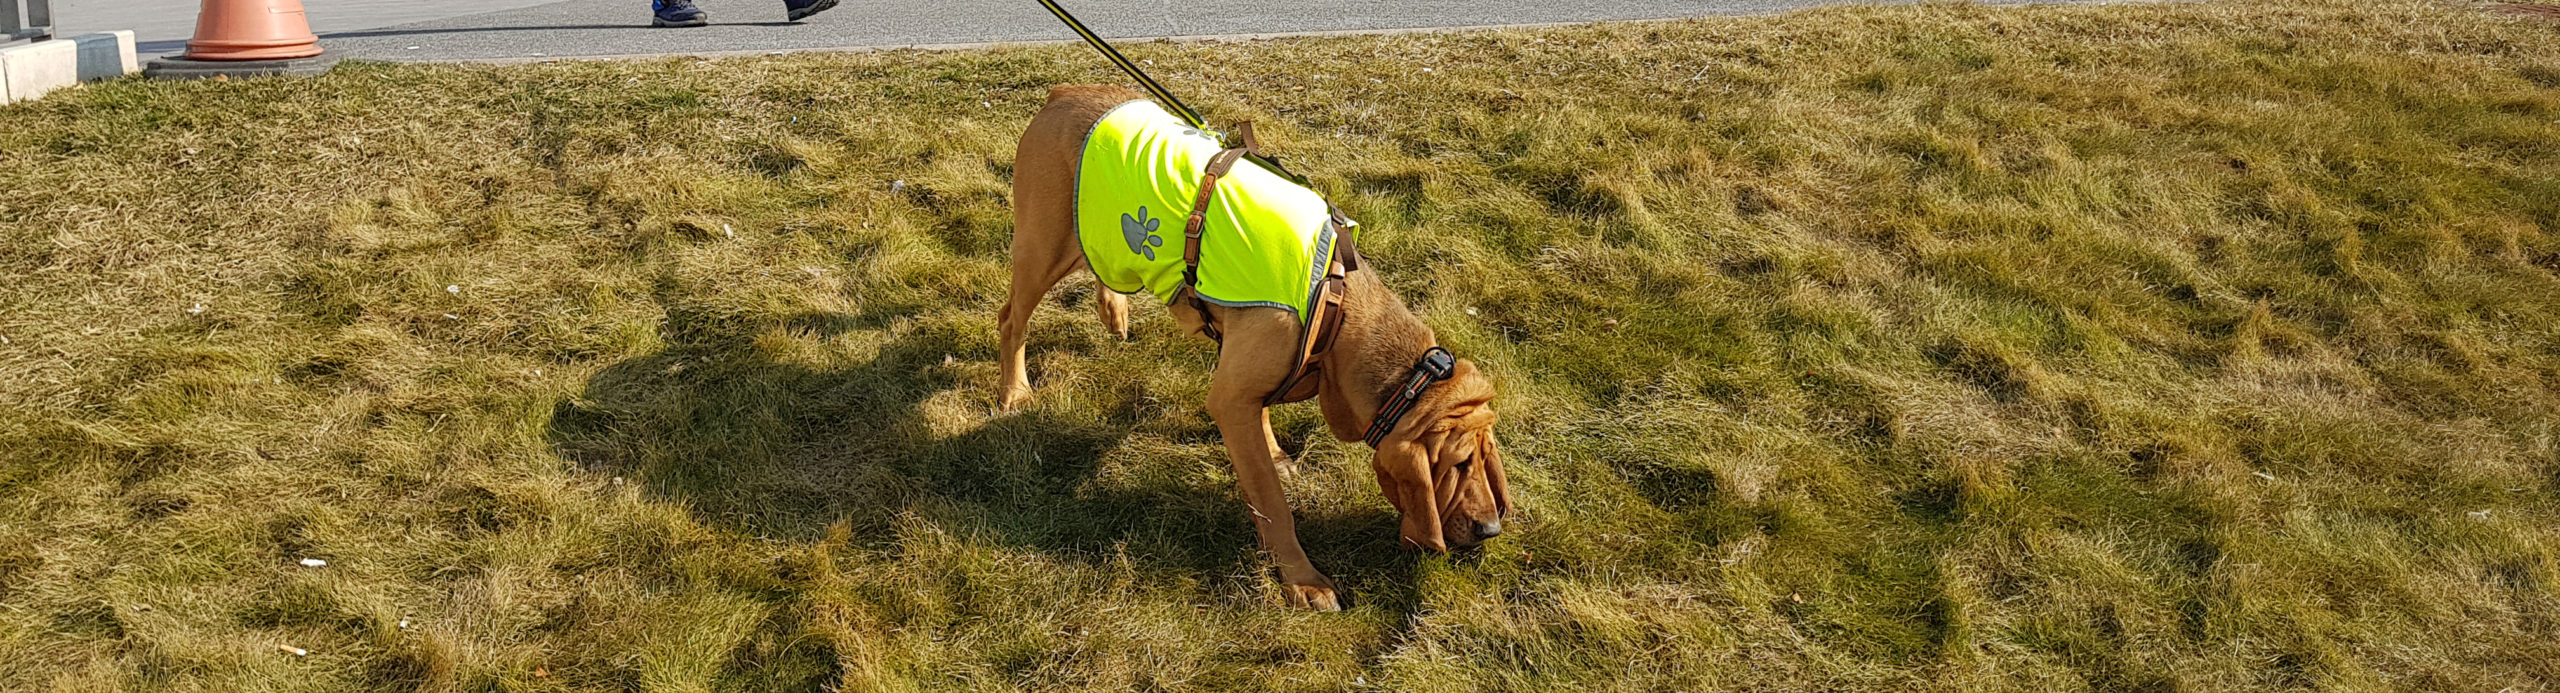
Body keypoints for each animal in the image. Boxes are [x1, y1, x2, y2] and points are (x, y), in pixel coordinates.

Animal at [993, 84, 1515, 611]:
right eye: (1458, 463)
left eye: (1485, 455)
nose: (1491, 529)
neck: (1338, 306)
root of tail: (1065, 92)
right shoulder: (1233, 398)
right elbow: (1271, 502)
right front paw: (1303, 579)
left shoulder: (1250, 379)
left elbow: (1265, 428)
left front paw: (1278, 455)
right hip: (1042, 249)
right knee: (1011, 319)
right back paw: (1015, 391)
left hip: (1099, 235)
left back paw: (1112, 311)